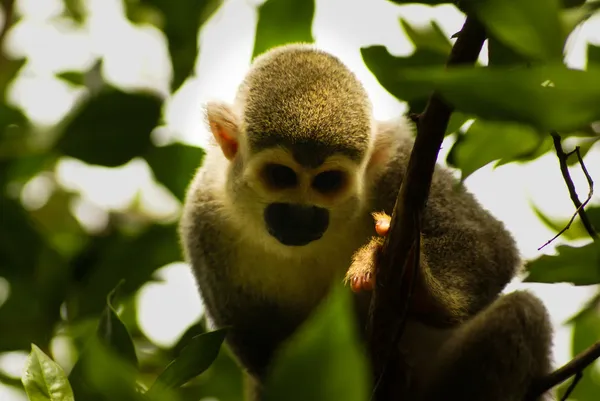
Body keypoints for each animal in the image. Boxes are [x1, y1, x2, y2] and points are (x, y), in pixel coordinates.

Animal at [179, 43, 552, 400]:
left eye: (328, 182)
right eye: (280, 176)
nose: (300, 217)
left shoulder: (402, 166)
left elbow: (492, 246)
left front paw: (412, 281)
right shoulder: (202, 215)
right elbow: (253, 339)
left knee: (523, 310)